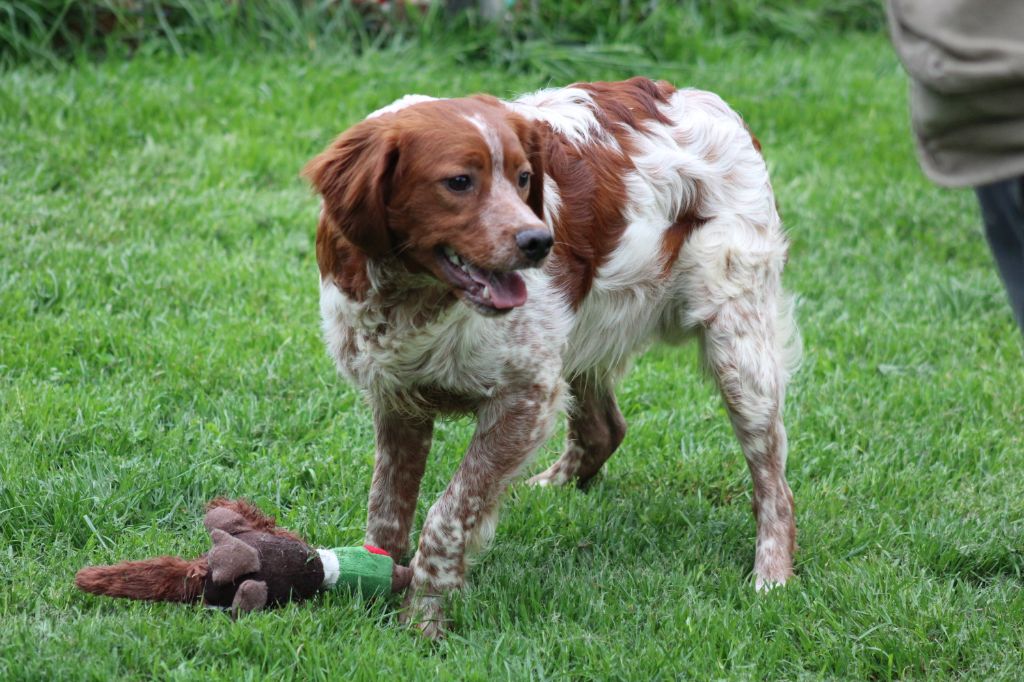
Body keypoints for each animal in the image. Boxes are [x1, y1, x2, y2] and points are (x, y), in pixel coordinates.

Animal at [303, 76, 798, 634]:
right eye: (458, 182)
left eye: (524, 178)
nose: (540, 241)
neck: (414, 299)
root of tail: (703, 98)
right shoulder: (396, 400)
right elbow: (387, 508)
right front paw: (378, 588)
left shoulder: (526, 396)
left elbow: (448, 514)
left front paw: (423, 617)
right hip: (580, 338)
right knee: (606, 429)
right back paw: (547, 486)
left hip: (740, 351)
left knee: (774, 486)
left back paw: (772, 576)